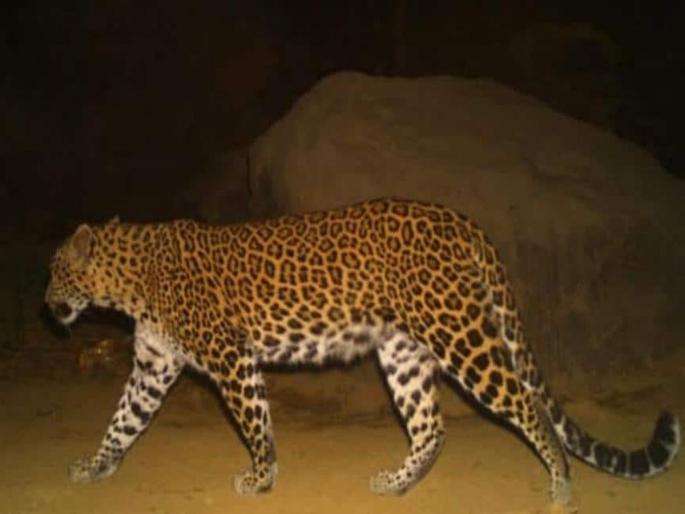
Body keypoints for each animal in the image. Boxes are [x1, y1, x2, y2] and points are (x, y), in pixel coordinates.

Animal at [45, 198, 680, 510]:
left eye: (53, 272)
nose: (47, 305)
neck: (130, 281)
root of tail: (462, 221)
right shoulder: (155, 366)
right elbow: (123, 420)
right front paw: (95, 466)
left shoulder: (230, 357)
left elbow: (254, 423)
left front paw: (261, 479)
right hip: (403, 352)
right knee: (431, 427)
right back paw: (397, 484)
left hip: (459, 332)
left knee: (525, 404)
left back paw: (562, 486)